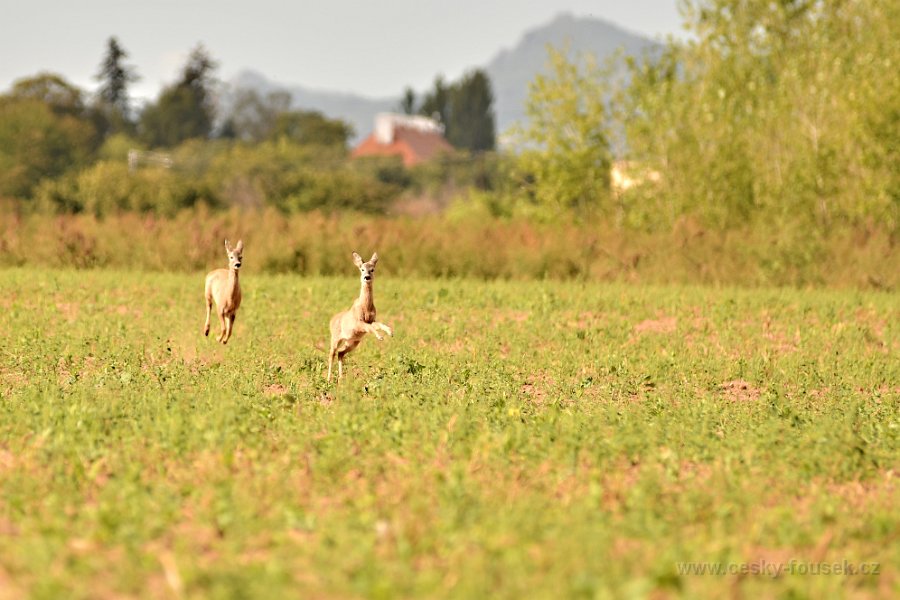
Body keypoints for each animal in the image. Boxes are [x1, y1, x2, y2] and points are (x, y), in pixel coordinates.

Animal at [326, 251, 392, 382]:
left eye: (372, 269)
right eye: (362, 269)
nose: (367, 277)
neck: (366, 307)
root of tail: (331, 320)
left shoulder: (372, 320)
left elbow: (379, 324)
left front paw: (390, 332)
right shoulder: (359, 322)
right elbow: (371, 328)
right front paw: (380, 337)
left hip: (352, 342)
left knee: (340, 353)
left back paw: (341, 378)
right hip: (335, 338)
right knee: (331, 355)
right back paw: (328, 379)